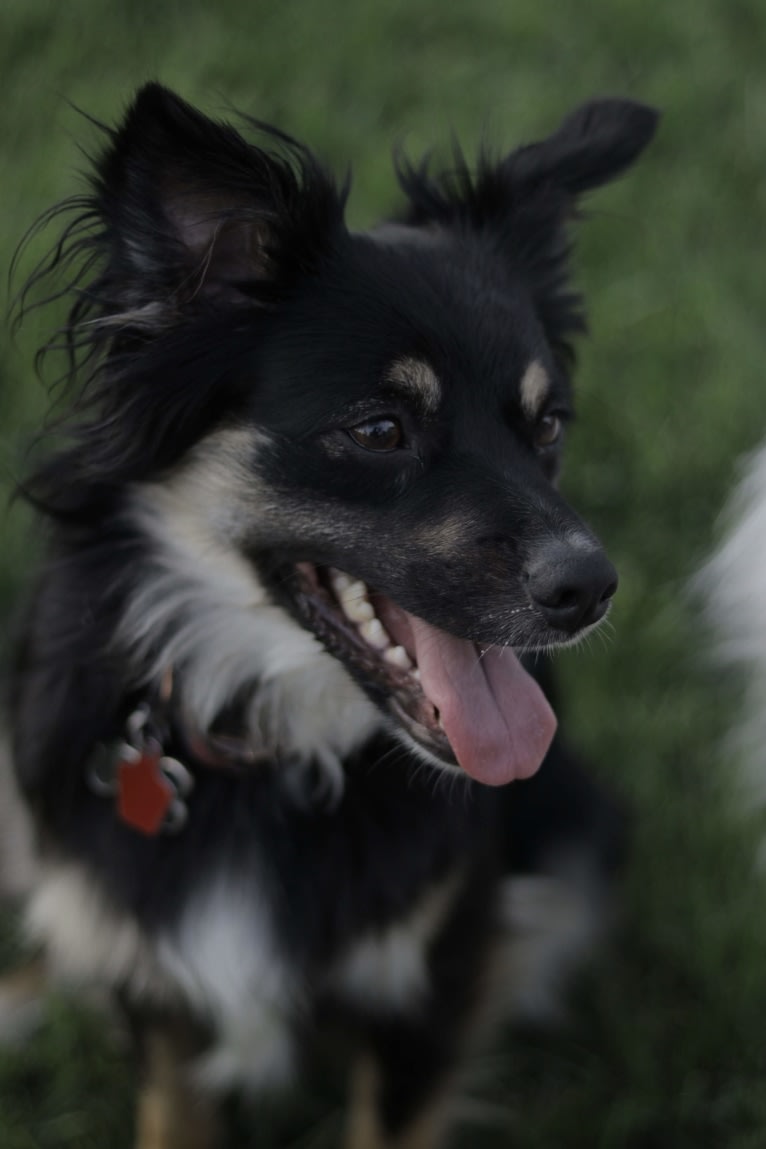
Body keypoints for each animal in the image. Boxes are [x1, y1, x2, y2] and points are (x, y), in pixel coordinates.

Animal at [4, 89, 661, 1149]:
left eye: (548, 423)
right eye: (380, 429)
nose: (592, 588)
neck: (268, 745)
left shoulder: (433, 977)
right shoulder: (156, 978)